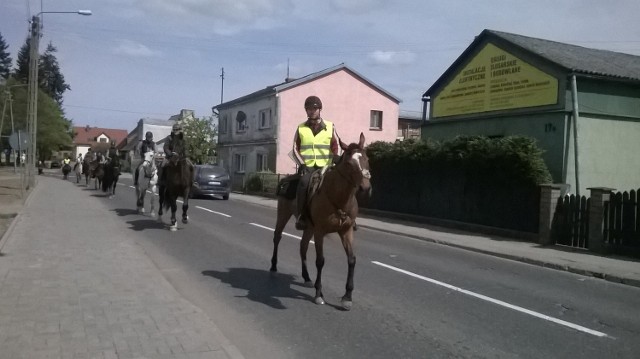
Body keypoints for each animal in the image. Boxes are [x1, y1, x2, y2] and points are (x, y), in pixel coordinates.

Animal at [268, 134, 370, 310]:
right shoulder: (320, 232)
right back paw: (274, 266)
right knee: (277, 237)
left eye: (366, 158)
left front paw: (347, 297)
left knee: (302, 247)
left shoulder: (346, 231)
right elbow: (320, 261)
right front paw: (319, 294)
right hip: (283, 214)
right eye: (349, 164)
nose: (366, 188)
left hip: (309, 227)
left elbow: (352, 259)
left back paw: (307, 277)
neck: (338, 199)